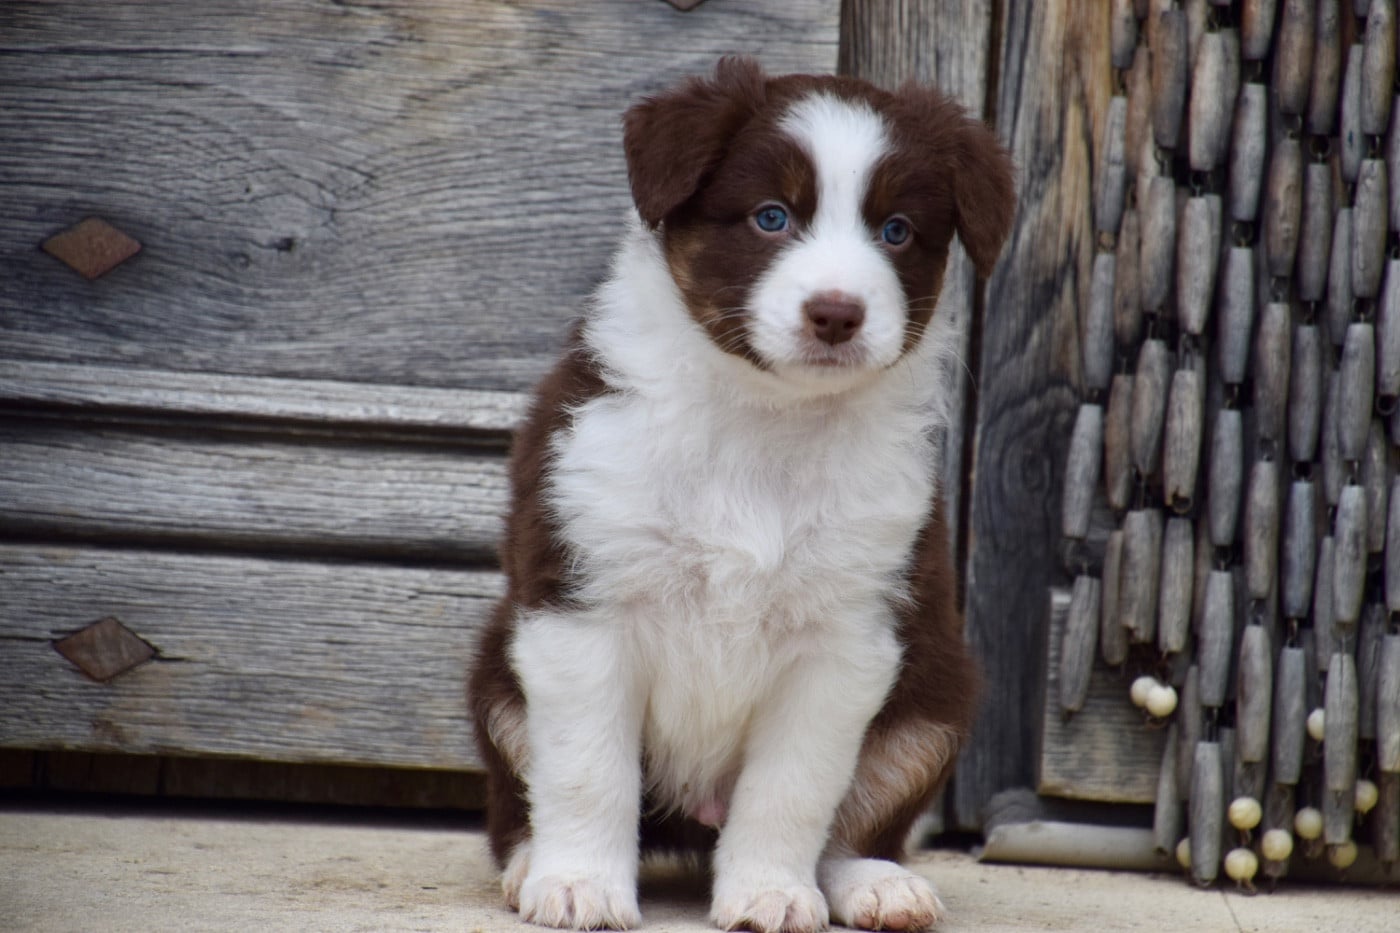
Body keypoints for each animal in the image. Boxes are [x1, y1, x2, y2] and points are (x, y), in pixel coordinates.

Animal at [469, 57, 1014, 933]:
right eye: (770, 217)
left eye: (896, 232)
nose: (836, 313)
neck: (764, 421)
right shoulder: (582, 609)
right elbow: (588, 768)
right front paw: (581, 883)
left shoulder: (845, 638)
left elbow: (792, 787)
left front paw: (768, 892)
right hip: (496, 675)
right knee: (518, 803)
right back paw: (530, 865)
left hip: (935, 701)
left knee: (858, 816)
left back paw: (876, 883)